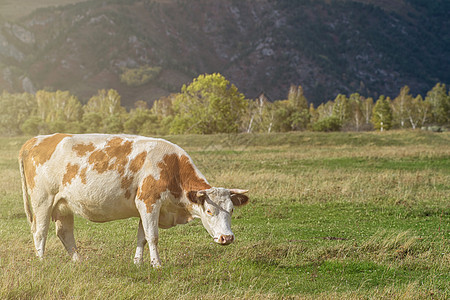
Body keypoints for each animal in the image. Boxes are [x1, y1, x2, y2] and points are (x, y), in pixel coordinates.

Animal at [18, 134, 250, 268]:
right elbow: (153, 236)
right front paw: (157, 265)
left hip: (63, 205)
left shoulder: (145, 208)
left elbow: (142, 237)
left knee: (64, 232)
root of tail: (35, 140)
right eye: (209, 211)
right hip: (43, 201)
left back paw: (79, 262)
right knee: (40, 232)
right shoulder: (148, 202)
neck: (171, 166)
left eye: (231, 210)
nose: (227, 238)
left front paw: (138, 263)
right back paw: (41, 262)